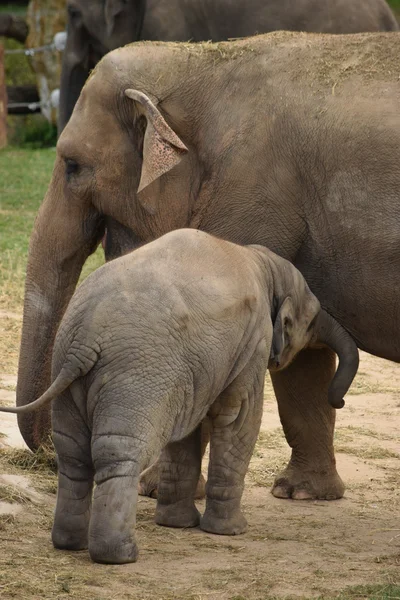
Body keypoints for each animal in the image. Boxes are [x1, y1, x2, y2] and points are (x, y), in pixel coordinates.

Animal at [0, 229, 360, 564]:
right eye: (310, 321)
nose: (339, 400)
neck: (262, 264)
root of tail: (84, 338)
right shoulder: (253, 342)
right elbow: (239, 417)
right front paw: (232, 531)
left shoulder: (193, 370)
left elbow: (188, 429)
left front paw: (178, 525)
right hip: (137, 375)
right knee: (119, 452)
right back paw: (120, 556)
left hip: (74, 372)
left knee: (73, 453)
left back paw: (69, 544)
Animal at [18, 31, 400, 502]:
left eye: (73, 166)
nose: (48, 457)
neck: (201, 59)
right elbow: (301, 352)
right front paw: (302, 493)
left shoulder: (252, 190)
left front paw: (153, 490)